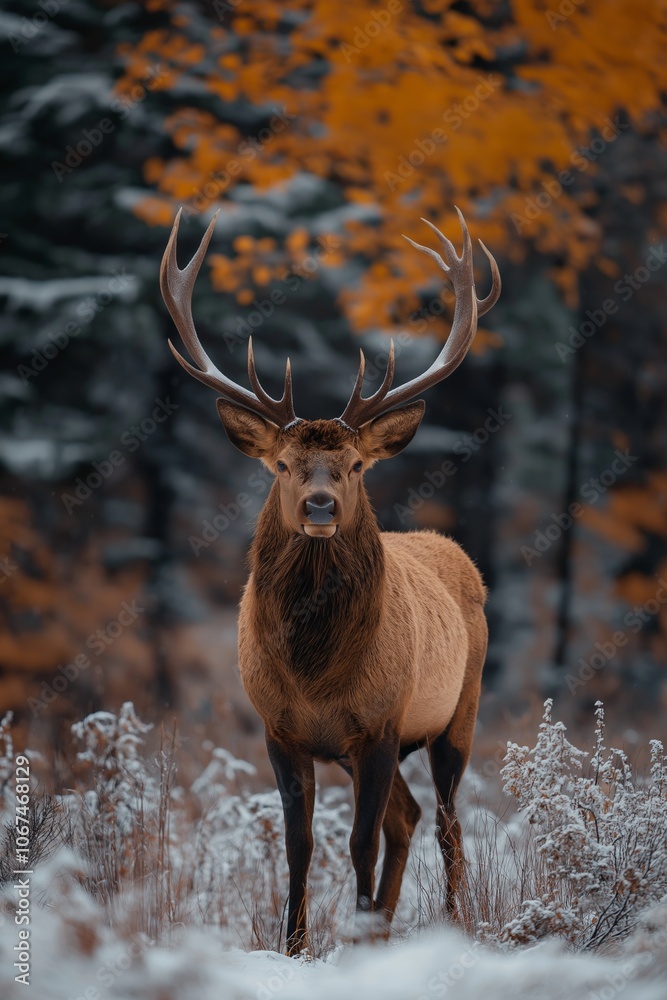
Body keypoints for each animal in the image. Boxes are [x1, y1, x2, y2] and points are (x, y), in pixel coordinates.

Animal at [160, 207, 501, 954]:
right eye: (283, 464)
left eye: (356, 466)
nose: (320, 506)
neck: (315, 674)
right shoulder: (280, 729)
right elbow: (301, 843)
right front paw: (294, 943)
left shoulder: (378, 723)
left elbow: (358, 843)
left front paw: (352, 935)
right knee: (408, 816)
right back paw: (386, 922)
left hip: (456, 710)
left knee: (445, 821)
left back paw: (450, 921)